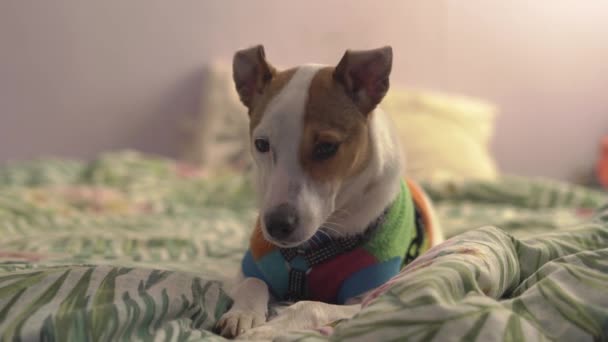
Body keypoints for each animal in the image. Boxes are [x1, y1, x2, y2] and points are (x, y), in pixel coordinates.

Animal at [215, 44, 442, 336]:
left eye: (327, 147)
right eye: (261, 144)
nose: (276, 226)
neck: (307, 252)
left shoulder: (365, 299)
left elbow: (310, 306)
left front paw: (269, 329)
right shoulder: (248, 270)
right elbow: (253, 283)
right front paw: (243, 313)